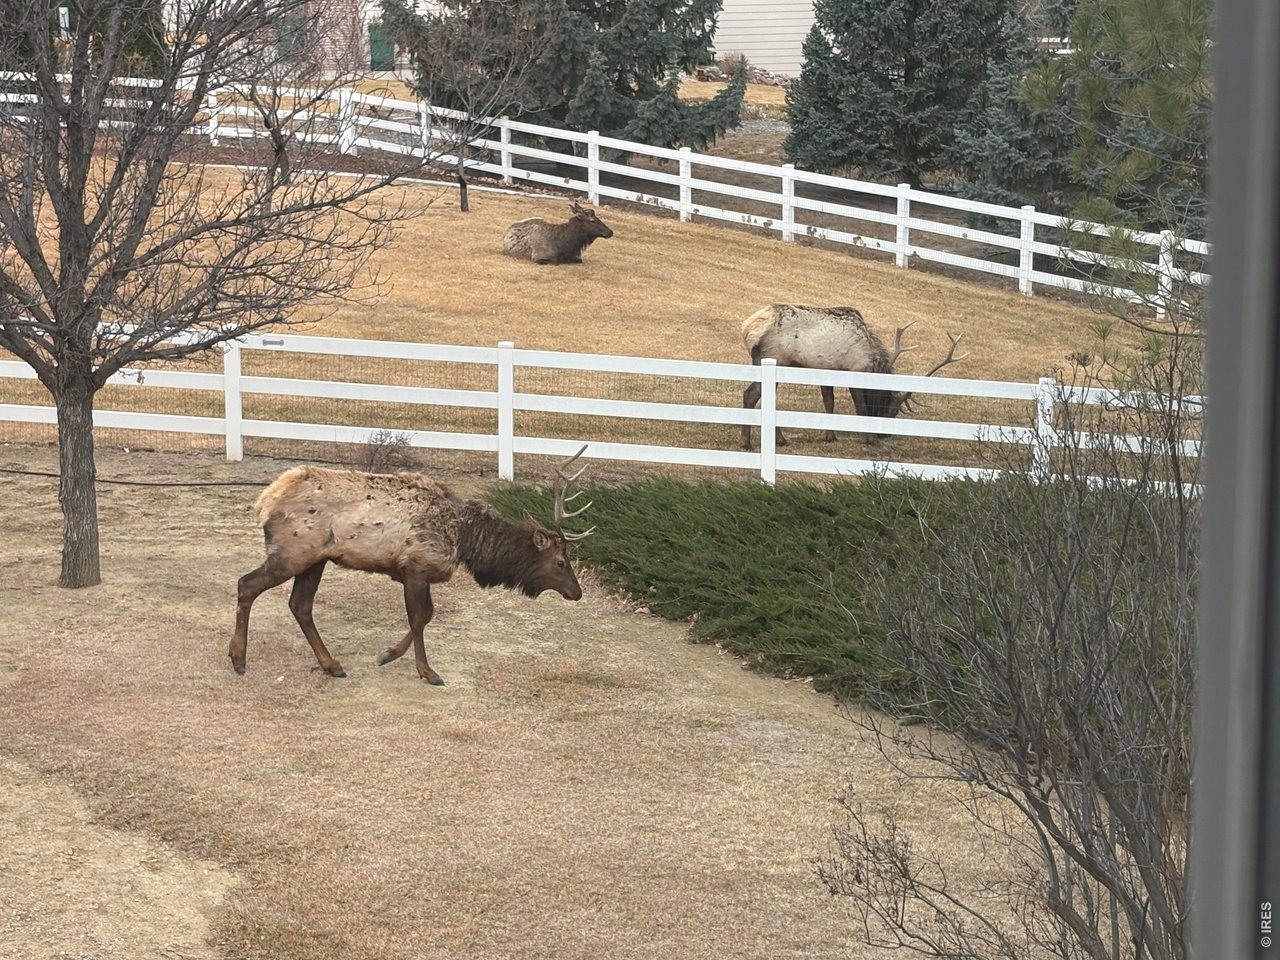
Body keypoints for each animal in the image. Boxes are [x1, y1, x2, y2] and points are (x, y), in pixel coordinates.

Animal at [228, 447, 595, 686]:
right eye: (560, 561)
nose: (577, 593)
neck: (465, 540)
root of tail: (265, 500)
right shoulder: (416, 567)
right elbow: (420, 618)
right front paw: (426, 671)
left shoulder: (417, 573)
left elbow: (426, 617)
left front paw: (388, 654)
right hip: (293, 553)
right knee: (247, 584)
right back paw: (238, 659)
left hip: (315, 559)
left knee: (300, 605)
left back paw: (331, 664)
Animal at [739, 304, 966, 450]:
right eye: (892, 410)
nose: (886, 435)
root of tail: (748, 327)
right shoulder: (855, 370)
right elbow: (861, 408)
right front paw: (869, 440)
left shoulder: (827, 371)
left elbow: (829, 403)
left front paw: (830, 436)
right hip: (773, 359)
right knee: (751, 395)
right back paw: (747, 443)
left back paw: (777, 439)